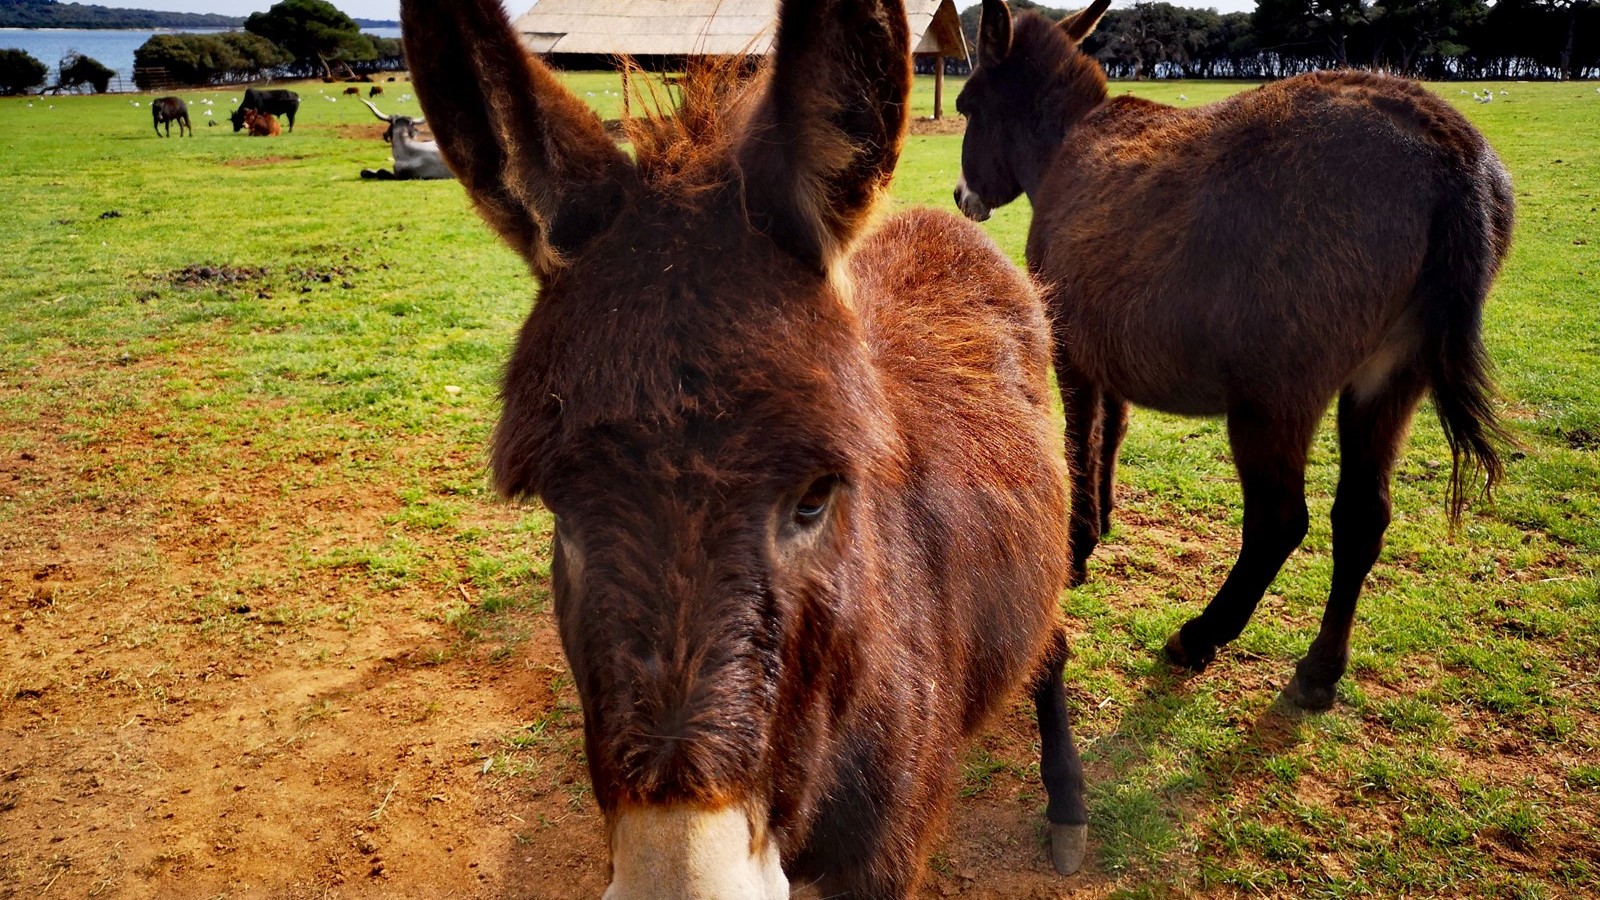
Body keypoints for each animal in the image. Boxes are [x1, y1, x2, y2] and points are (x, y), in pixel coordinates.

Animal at [406, 0, 1094, 890]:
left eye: (815, 498)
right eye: (559, 509)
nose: (681, 882)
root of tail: (938, 221)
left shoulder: (886, 856)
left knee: (1051, 645)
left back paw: (1068, 805)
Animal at [953, 0, 1516, 707]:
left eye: (968, 105)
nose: (960, 198)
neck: (1063, 147)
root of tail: (1450, 149)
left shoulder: (1070, 347)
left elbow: (1080, 439)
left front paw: (1079, 546)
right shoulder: (1108, 347)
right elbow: (1114, 432)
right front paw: (1104, 521)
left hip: (1274, 392)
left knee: (1280, 520)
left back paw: (1201, 635)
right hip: (1391, 376)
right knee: (1363, 518)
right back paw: (1320, 670)